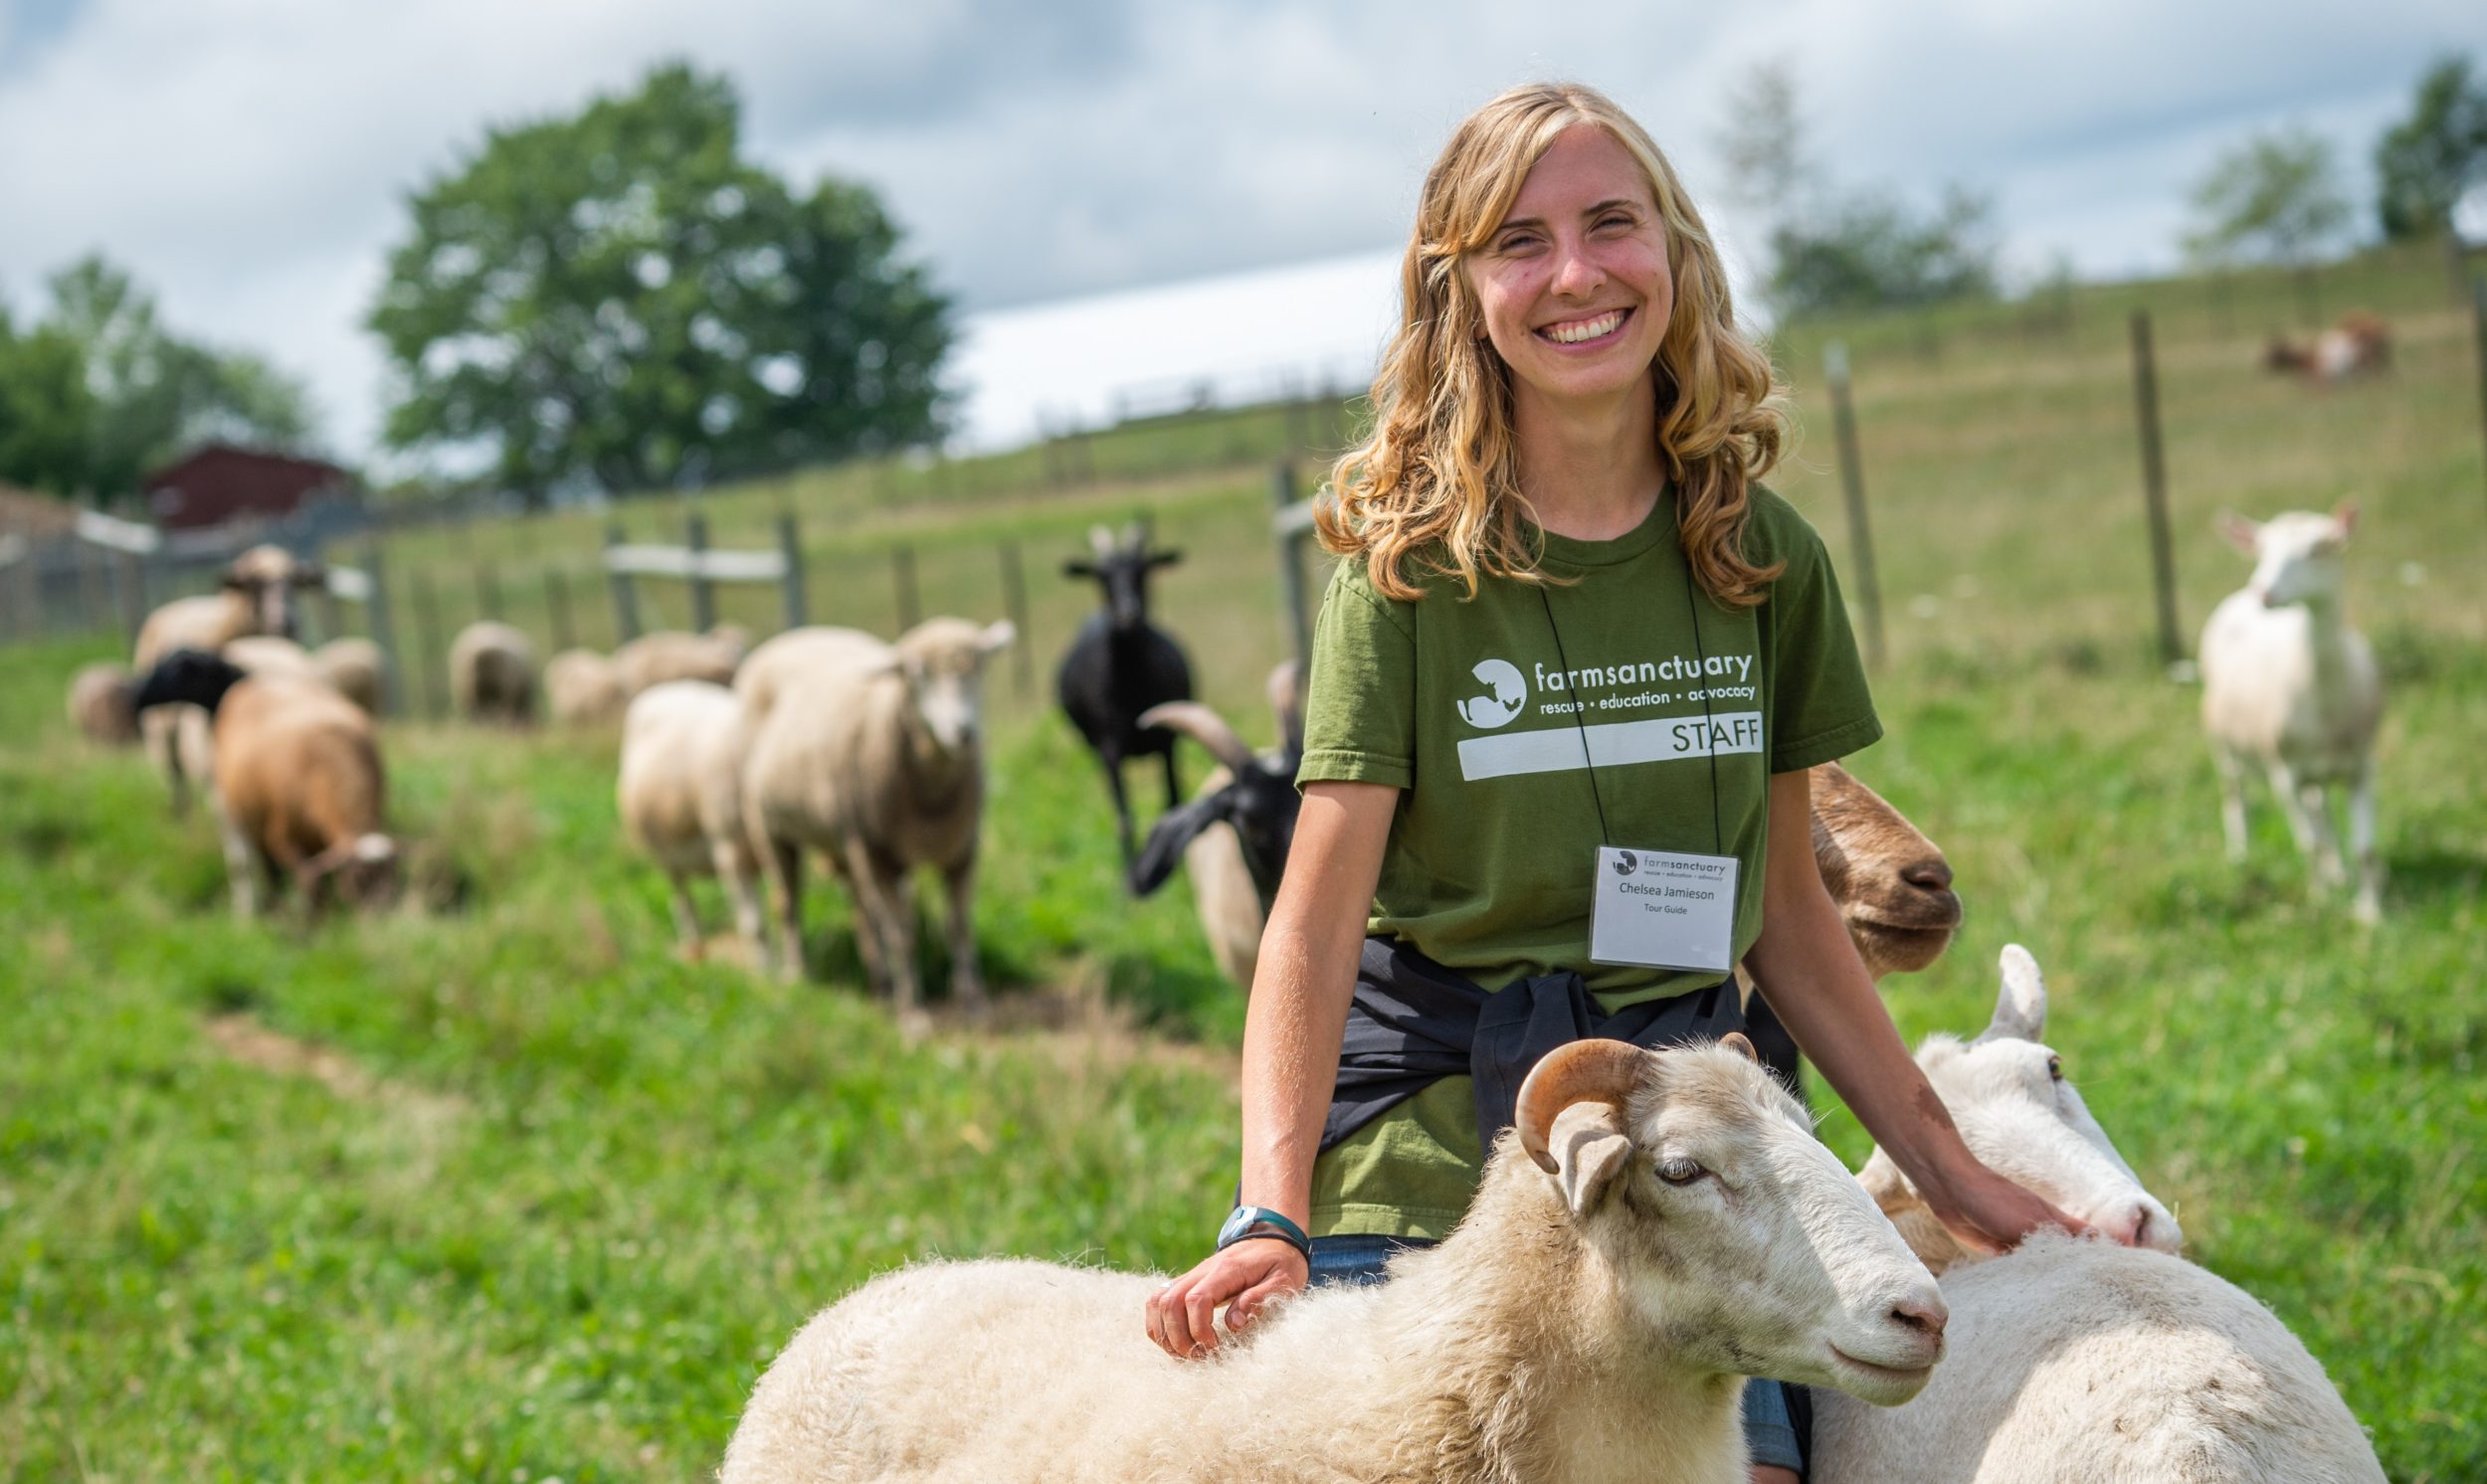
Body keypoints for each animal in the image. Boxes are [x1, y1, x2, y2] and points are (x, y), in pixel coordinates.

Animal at [617, 675, 761, 954]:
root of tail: (668, 687)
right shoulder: (730, 853)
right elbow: (754, 927)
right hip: (666, 854)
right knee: (681, 897)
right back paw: (694, 943)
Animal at [731, 614, 1015, 1009]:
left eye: (980, 666)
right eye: (917, 674)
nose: (963, 732)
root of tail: (795, 636)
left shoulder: (962, 847)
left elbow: (958, 926)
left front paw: (972, 999)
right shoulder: (878, 853)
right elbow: (901, 934)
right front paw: (912, 1010)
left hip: (846, 841)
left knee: (862, 910)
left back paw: (879, 981)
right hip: (769, 825)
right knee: (788, 903)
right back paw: (797, 974)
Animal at [2199, 506, 2388, 914]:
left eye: (2319, 549)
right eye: (2262, 550)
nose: (2264, 591)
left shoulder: (2362, 765)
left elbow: (2365, 848)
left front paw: (2369, 912)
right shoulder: (2284, 773)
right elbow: (2308, 845)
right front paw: (2320, 902)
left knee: (2320, 810)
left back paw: (2339, 873)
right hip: (2223, 742)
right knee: (2234, 794)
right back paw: (2241, 855)